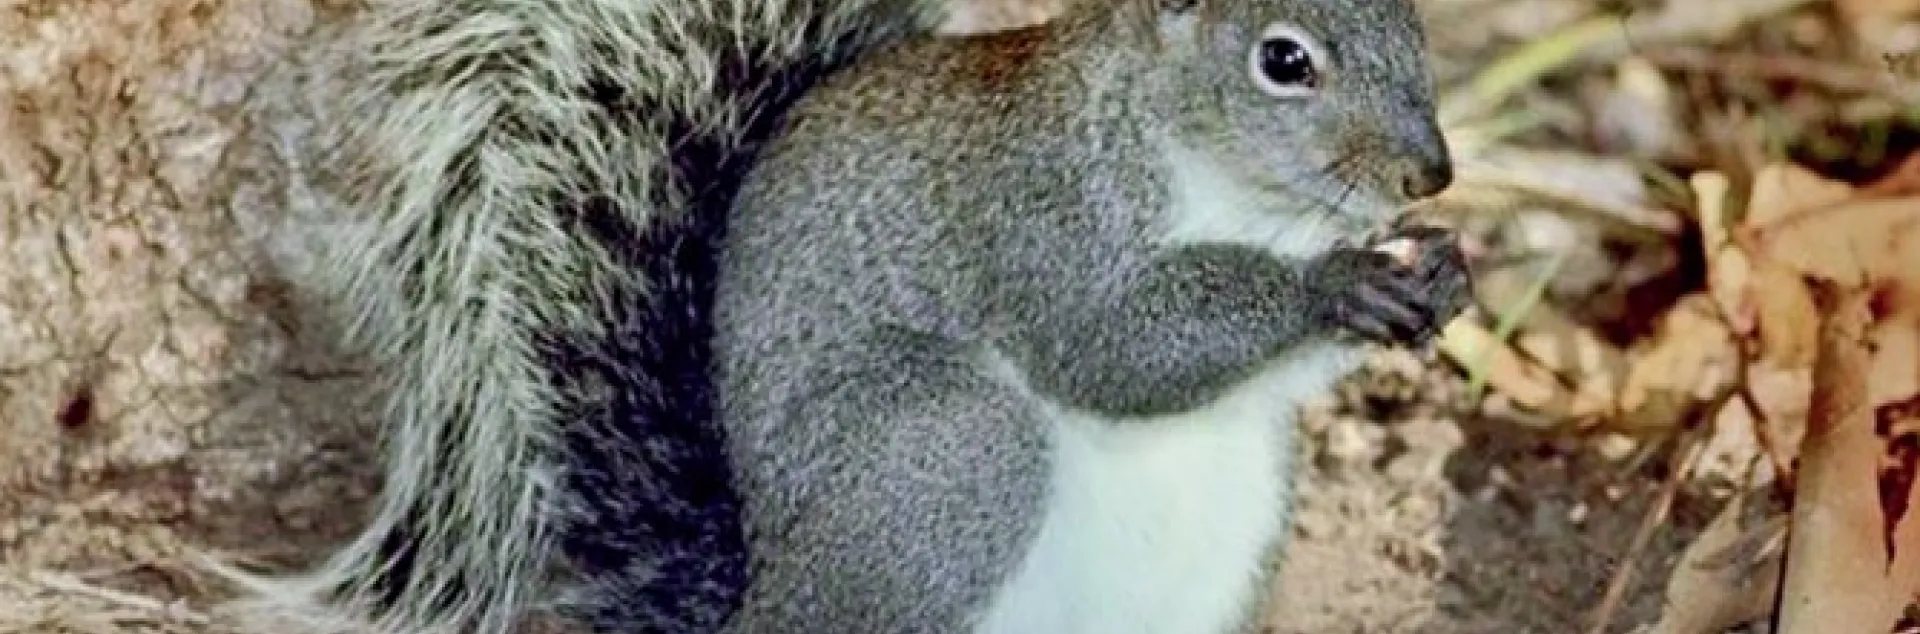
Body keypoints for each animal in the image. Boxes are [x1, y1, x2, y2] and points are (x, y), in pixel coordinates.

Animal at [245, 0, 1470, 632]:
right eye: (1284, 60)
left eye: (1419, 26)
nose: (1434, 175)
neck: (1235, 191)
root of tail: (760, 608)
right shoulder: (1035, 209)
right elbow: (1109, 345)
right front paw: (1334, 286)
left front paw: (1440, 274)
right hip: (941, 456)